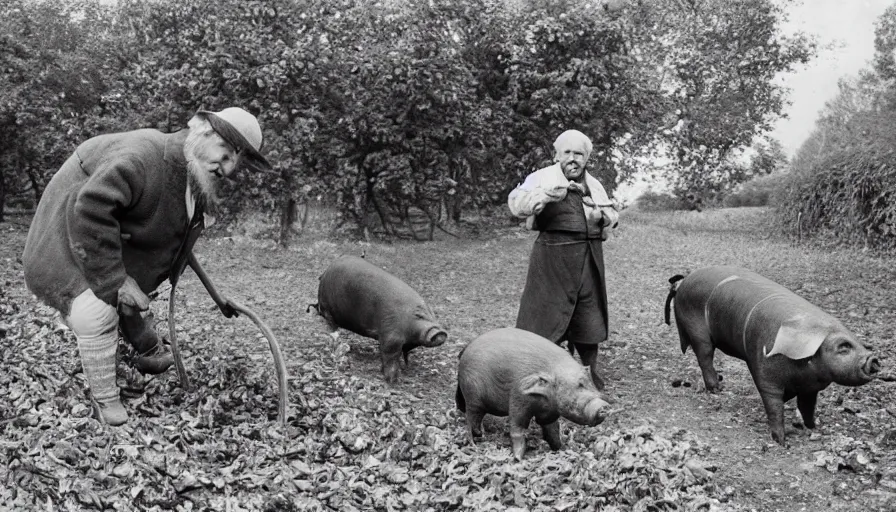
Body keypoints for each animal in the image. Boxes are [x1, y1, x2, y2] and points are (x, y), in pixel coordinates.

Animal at [310, 254, 446, 382]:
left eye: (431, 313)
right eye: (419, 315)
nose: (440, 332)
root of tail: (325, 273)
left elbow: (404, 353)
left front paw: (407, 367)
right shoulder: (390, 335)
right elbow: (389, 354)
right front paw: (392, 380)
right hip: (327, 309)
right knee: (331, 325)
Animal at [456, 328, 608, 460]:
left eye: (589, 383)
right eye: (578, 386)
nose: (603, 407)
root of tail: (464, 352)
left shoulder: (550, 411)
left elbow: (552, 429)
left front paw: (560, 449)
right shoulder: (519, 397)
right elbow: (517, 429)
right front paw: (518, 458)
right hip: (472, 396)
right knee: (471, 419)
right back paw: (475, 443)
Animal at [664, 266, 880, 446]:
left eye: (859, 343)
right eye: (843, 347)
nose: (873, 359)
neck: (805, 371)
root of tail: (684, 280)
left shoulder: (811, 387)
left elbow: (807, 406)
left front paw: (813, 427)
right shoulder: (763, 371)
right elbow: (774, 404)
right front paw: (781, 441)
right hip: (697, 331)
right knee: (705, 357)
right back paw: (717, 389)